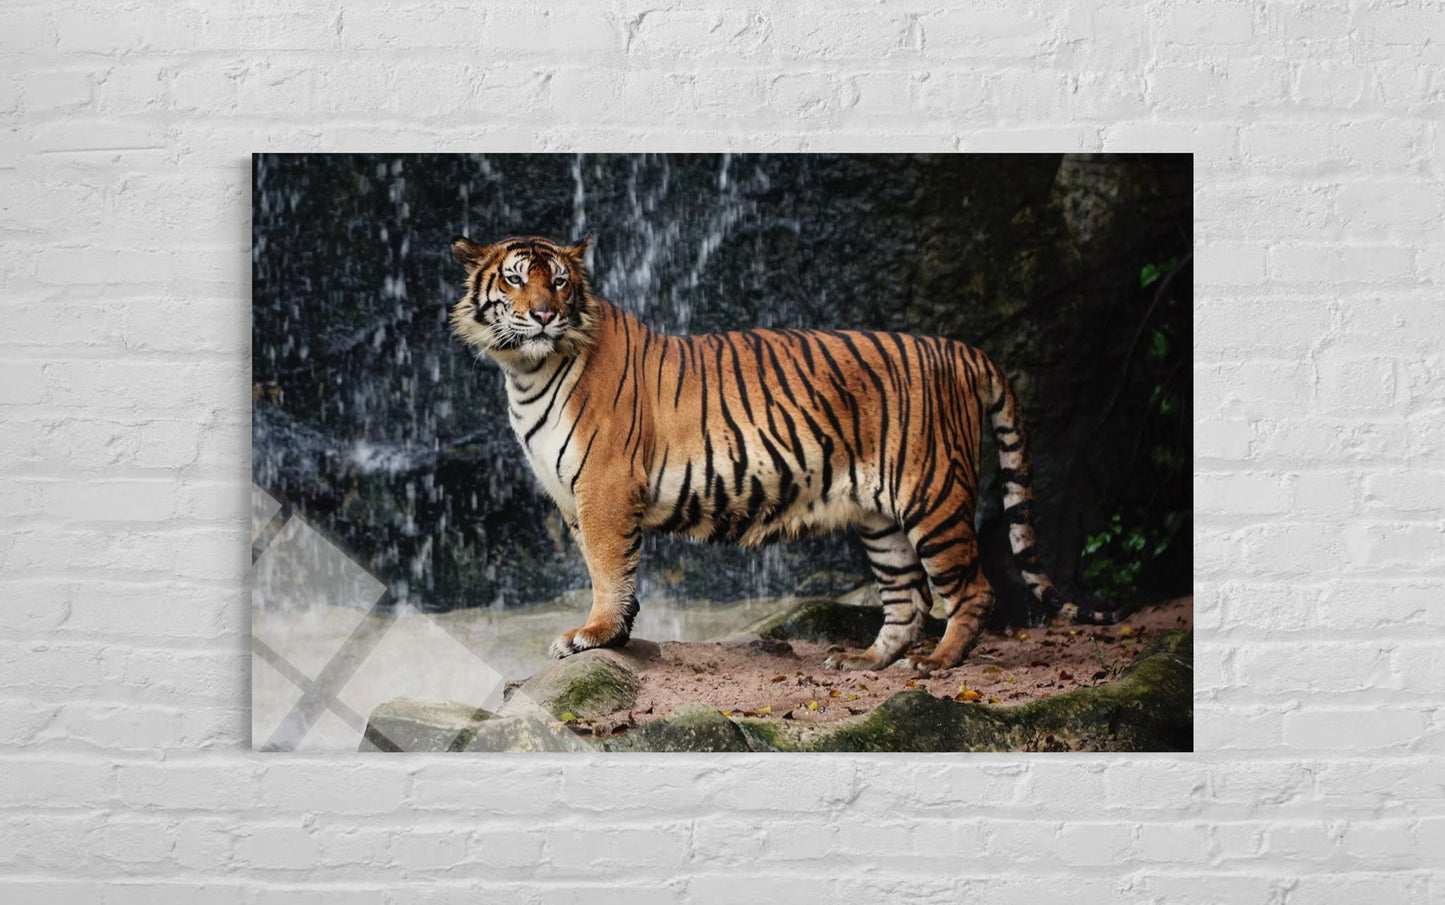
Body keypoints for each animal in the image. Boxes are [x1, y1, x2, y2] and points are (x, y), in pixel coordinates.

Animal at [448, 234, 1107, 674]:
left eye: (560, 281)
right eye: (515, 279)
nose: (544, 314)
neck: (526, 371)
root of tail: (962, 349)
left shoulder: (604, 488)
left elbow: (609, 571)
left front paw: (594, 635)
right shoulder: (572, 500)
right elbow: (606, 569)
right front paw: (619, 634)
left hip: (933, 495)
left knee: (971, 591)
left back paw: (937, 663)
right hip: (881, 519)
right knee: (907, 598)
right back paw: (865, 661)